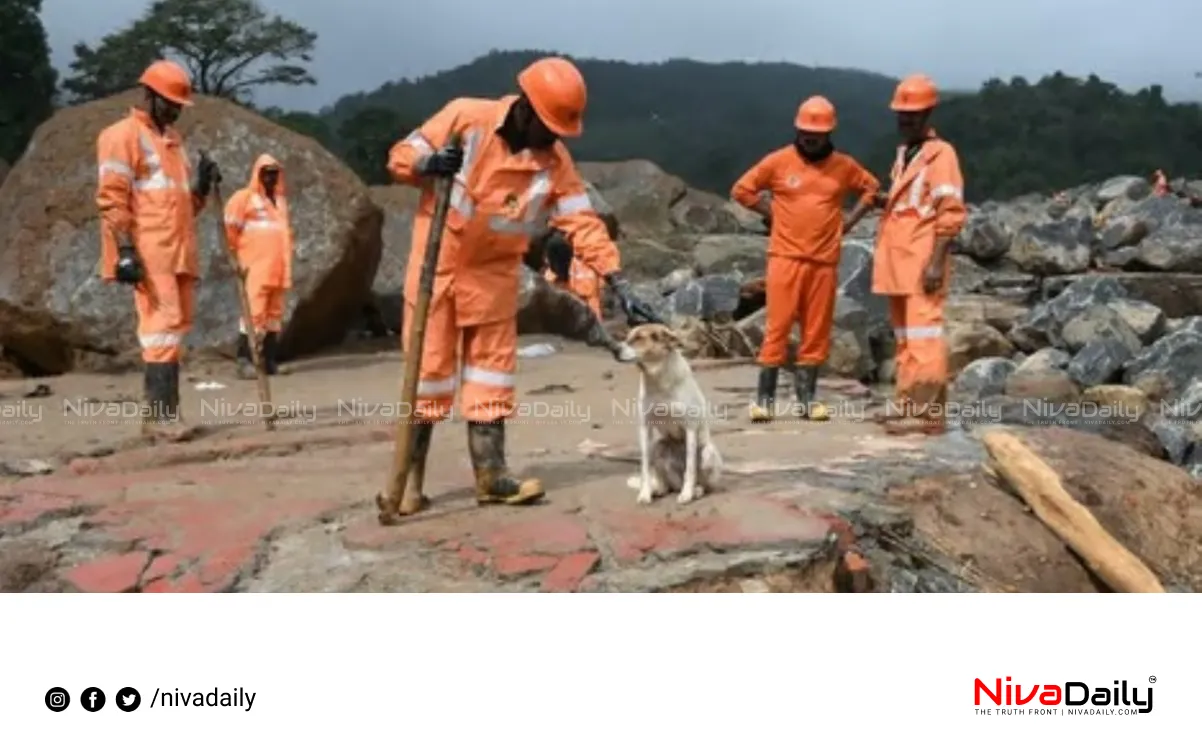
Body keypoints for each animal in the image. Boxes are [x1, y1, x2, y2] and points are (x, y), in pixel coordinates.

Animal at [620, 322, 721, 502]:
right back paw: (659, 490)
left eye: (638, 338)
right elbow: (645, 467)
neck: (658, 379)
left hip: (708, 453)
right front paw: (645, 494)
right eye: (628, 337)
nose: (614, 349)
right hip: (659, 447)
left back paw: (696, 491)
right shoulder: (645, 428)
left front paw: (687, 494)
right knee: (667, 484)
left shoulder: (690, 428)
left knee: (702, 483)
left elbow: (690, 468)